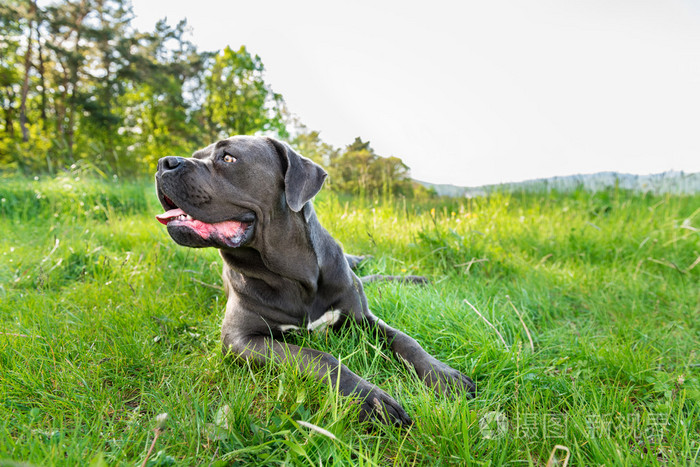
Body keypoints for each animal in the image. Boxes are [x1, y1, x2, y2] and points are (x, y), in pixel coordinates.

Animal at [154, 135, 476, 428]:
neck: (295, 276)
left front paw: (443, 375)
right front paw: (368, 398)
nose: (163, 162)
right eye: (198, 155)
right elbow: (318, 357)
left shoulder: (361, 317)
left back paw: (410, 276)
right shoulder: (241, 339)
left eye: (228, 157)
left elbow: (406, 340)